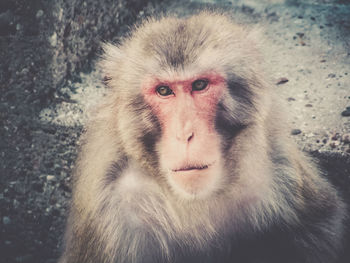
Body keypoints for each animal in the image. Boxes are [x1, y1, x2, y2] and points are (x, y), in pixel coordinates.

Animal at [58, 10, 346, 263]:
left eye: (199, 85)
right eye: (164, 91)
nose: (185, 134)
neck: (194, 200)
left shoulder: (280, 170)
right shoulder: (109, 210)